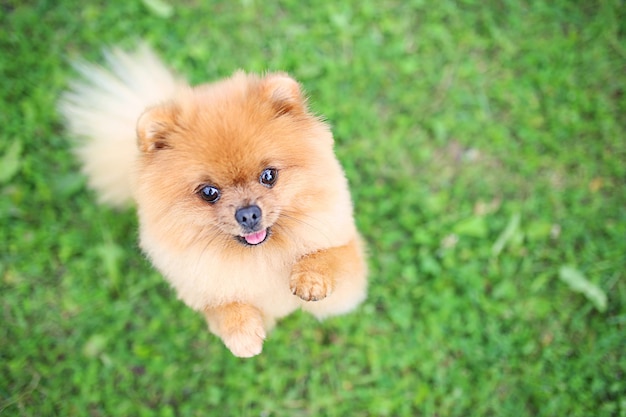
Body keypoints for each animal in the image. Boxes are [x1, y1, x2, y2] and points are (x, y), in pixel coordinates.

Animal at [58, 46, 366, 358]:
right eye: (209, 192)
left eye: (269, 175)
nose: (248, 214)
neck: (261, 257)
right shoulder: (203, 289)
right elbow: (223, 306)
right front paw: (242, 333)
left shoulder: (346, 270)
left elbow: (331, 256)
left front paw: (311, 278)